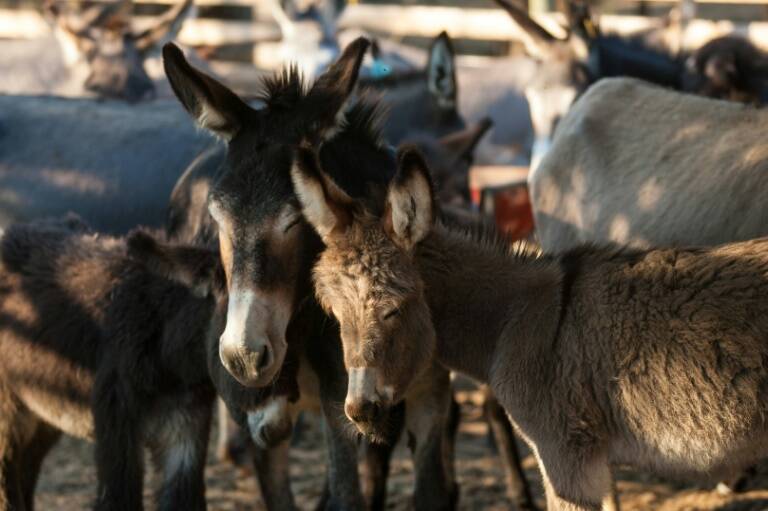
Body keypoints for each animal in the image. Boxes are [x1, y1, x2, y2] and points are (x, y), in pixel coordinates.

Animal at [292, 145, 768, 511]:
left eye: (393, 309)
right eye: (336, 316)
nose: (360, 411)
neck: (517, 318)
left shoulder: (564, 457)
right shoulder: (593, 460)